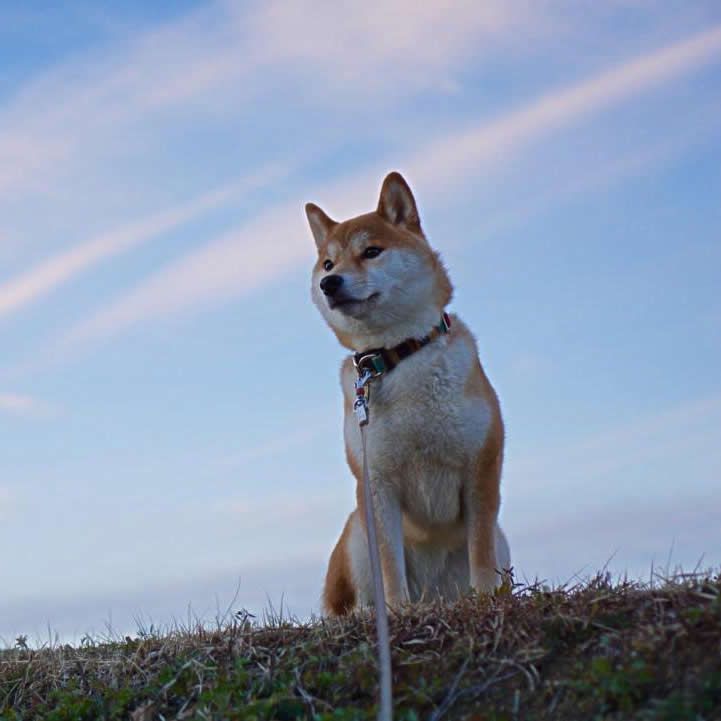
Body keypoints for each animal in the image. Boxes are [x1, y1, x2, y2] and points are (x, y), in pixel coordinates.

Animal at [306, 170, 510, 612]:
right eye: (328, 263)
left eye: (371, 251)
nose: (330, 283)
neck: (398, 354)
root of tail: (434, 596)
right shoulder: (376, 482)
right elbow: (388, 564)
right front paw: (396, 610)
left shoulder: (480, 467)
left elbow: (480, 551)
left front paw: (487, 598)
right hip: (354, 533)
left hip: (499, 542)